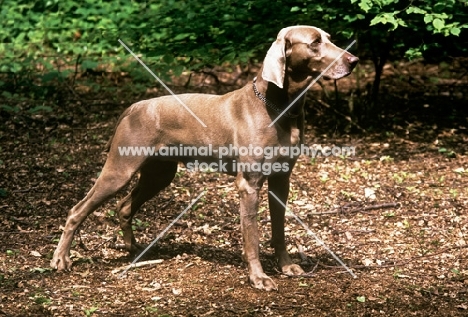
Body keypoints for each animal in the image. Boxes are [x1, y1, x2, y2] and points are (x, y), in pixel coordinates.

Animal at [51, 25, 358, 290]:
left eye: (329, 38)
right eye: (315, 42)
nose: (354, 60)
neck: (279, 107)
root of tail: (134, 106)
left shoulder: (281, 179)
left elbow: (279, 229)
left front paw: (286, 266)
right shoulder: (249, 184)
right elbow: (252, 237)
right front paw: (258, 277)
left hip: (160, 174)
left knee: (124, 207)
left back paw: (134, 250)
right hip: (120, 169)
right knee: (77, 210)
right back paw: (61, 259)